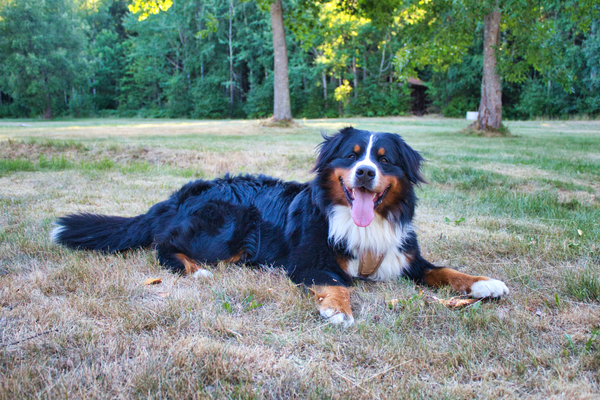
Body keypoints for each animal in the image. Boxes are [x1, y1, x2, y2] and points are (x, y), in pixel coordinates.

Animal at [54, 126, 508, 326]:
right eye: (352, 154)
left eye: (385, 159)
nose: (364, 173)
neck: (363, 224)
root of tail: (184, 192)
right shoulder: (309, 262)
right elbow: (338, 284)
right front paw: (338, 309)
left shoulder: (405, 254)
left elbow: (444, 270)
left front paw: (485, 283)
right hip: (231, 224)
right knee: (165, 246)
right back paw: (196, 270)